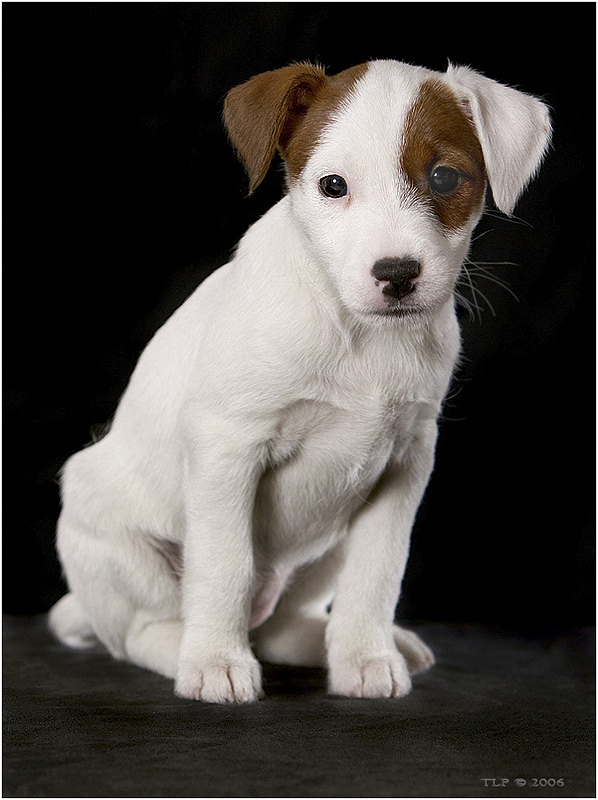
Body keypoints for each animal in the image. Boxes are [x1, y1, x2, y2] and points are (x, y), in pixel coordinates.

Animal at [50, 61, 552, 700]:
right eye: (333, 186)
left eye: (443, 177)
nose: (396, 274)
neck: (360, 335)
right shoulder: (228, 447)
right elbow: (224, 565)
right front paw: (215, 662)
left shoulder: (406, 461)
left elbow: (378, 573)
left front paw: (366, 655)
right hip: (121, 547)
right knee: (146, 629)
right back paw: (189, 651)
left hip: (322, 553)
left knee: (279, 624)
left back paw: (343, 645)